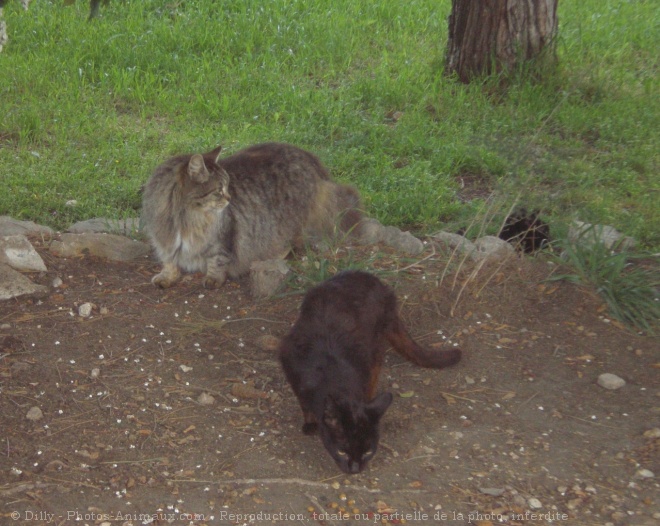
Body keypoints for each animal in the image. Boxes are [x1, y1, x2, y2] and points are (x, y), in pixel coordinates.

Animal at [141, 142, 364, 290]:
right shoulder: (164, 238)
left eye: (227, 186)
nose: (230, 198)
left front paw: (213, 279)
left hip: (287, 223)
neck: (185, 218)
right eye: (219, 190)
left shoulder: (223, 239)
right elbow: (169, 261)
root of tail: (307, 155)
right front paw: (167, 276)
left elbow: (217, 260)